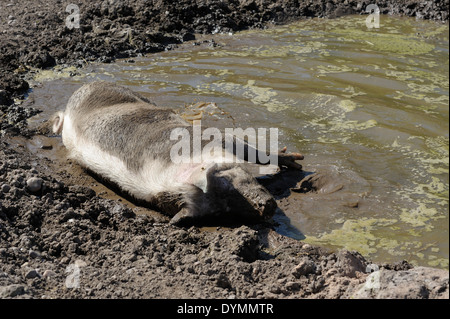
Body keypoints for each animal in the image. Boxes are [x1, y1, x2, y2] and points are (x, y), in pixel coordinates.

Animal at [53, 81, 306, 225]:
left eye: (225, 182)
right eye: (222, 210)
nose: (267, 206)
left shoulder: (214, 138)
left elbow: (249, 150)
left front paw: (297, 162)